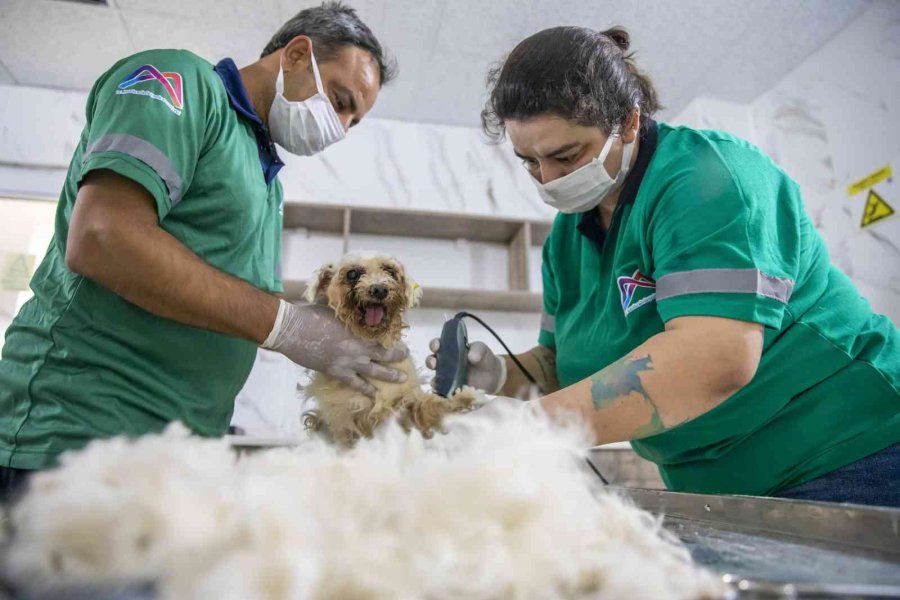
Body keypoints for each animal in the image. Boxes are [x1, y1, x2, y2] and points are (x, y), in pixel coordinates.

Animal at [298, 251, 482, 448]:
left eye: (390, 271)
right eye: (352, 274)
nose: (379, 289)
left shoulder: (409, 401)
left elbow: (431, 406)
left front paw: (464, 398)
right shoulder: (344, 419)